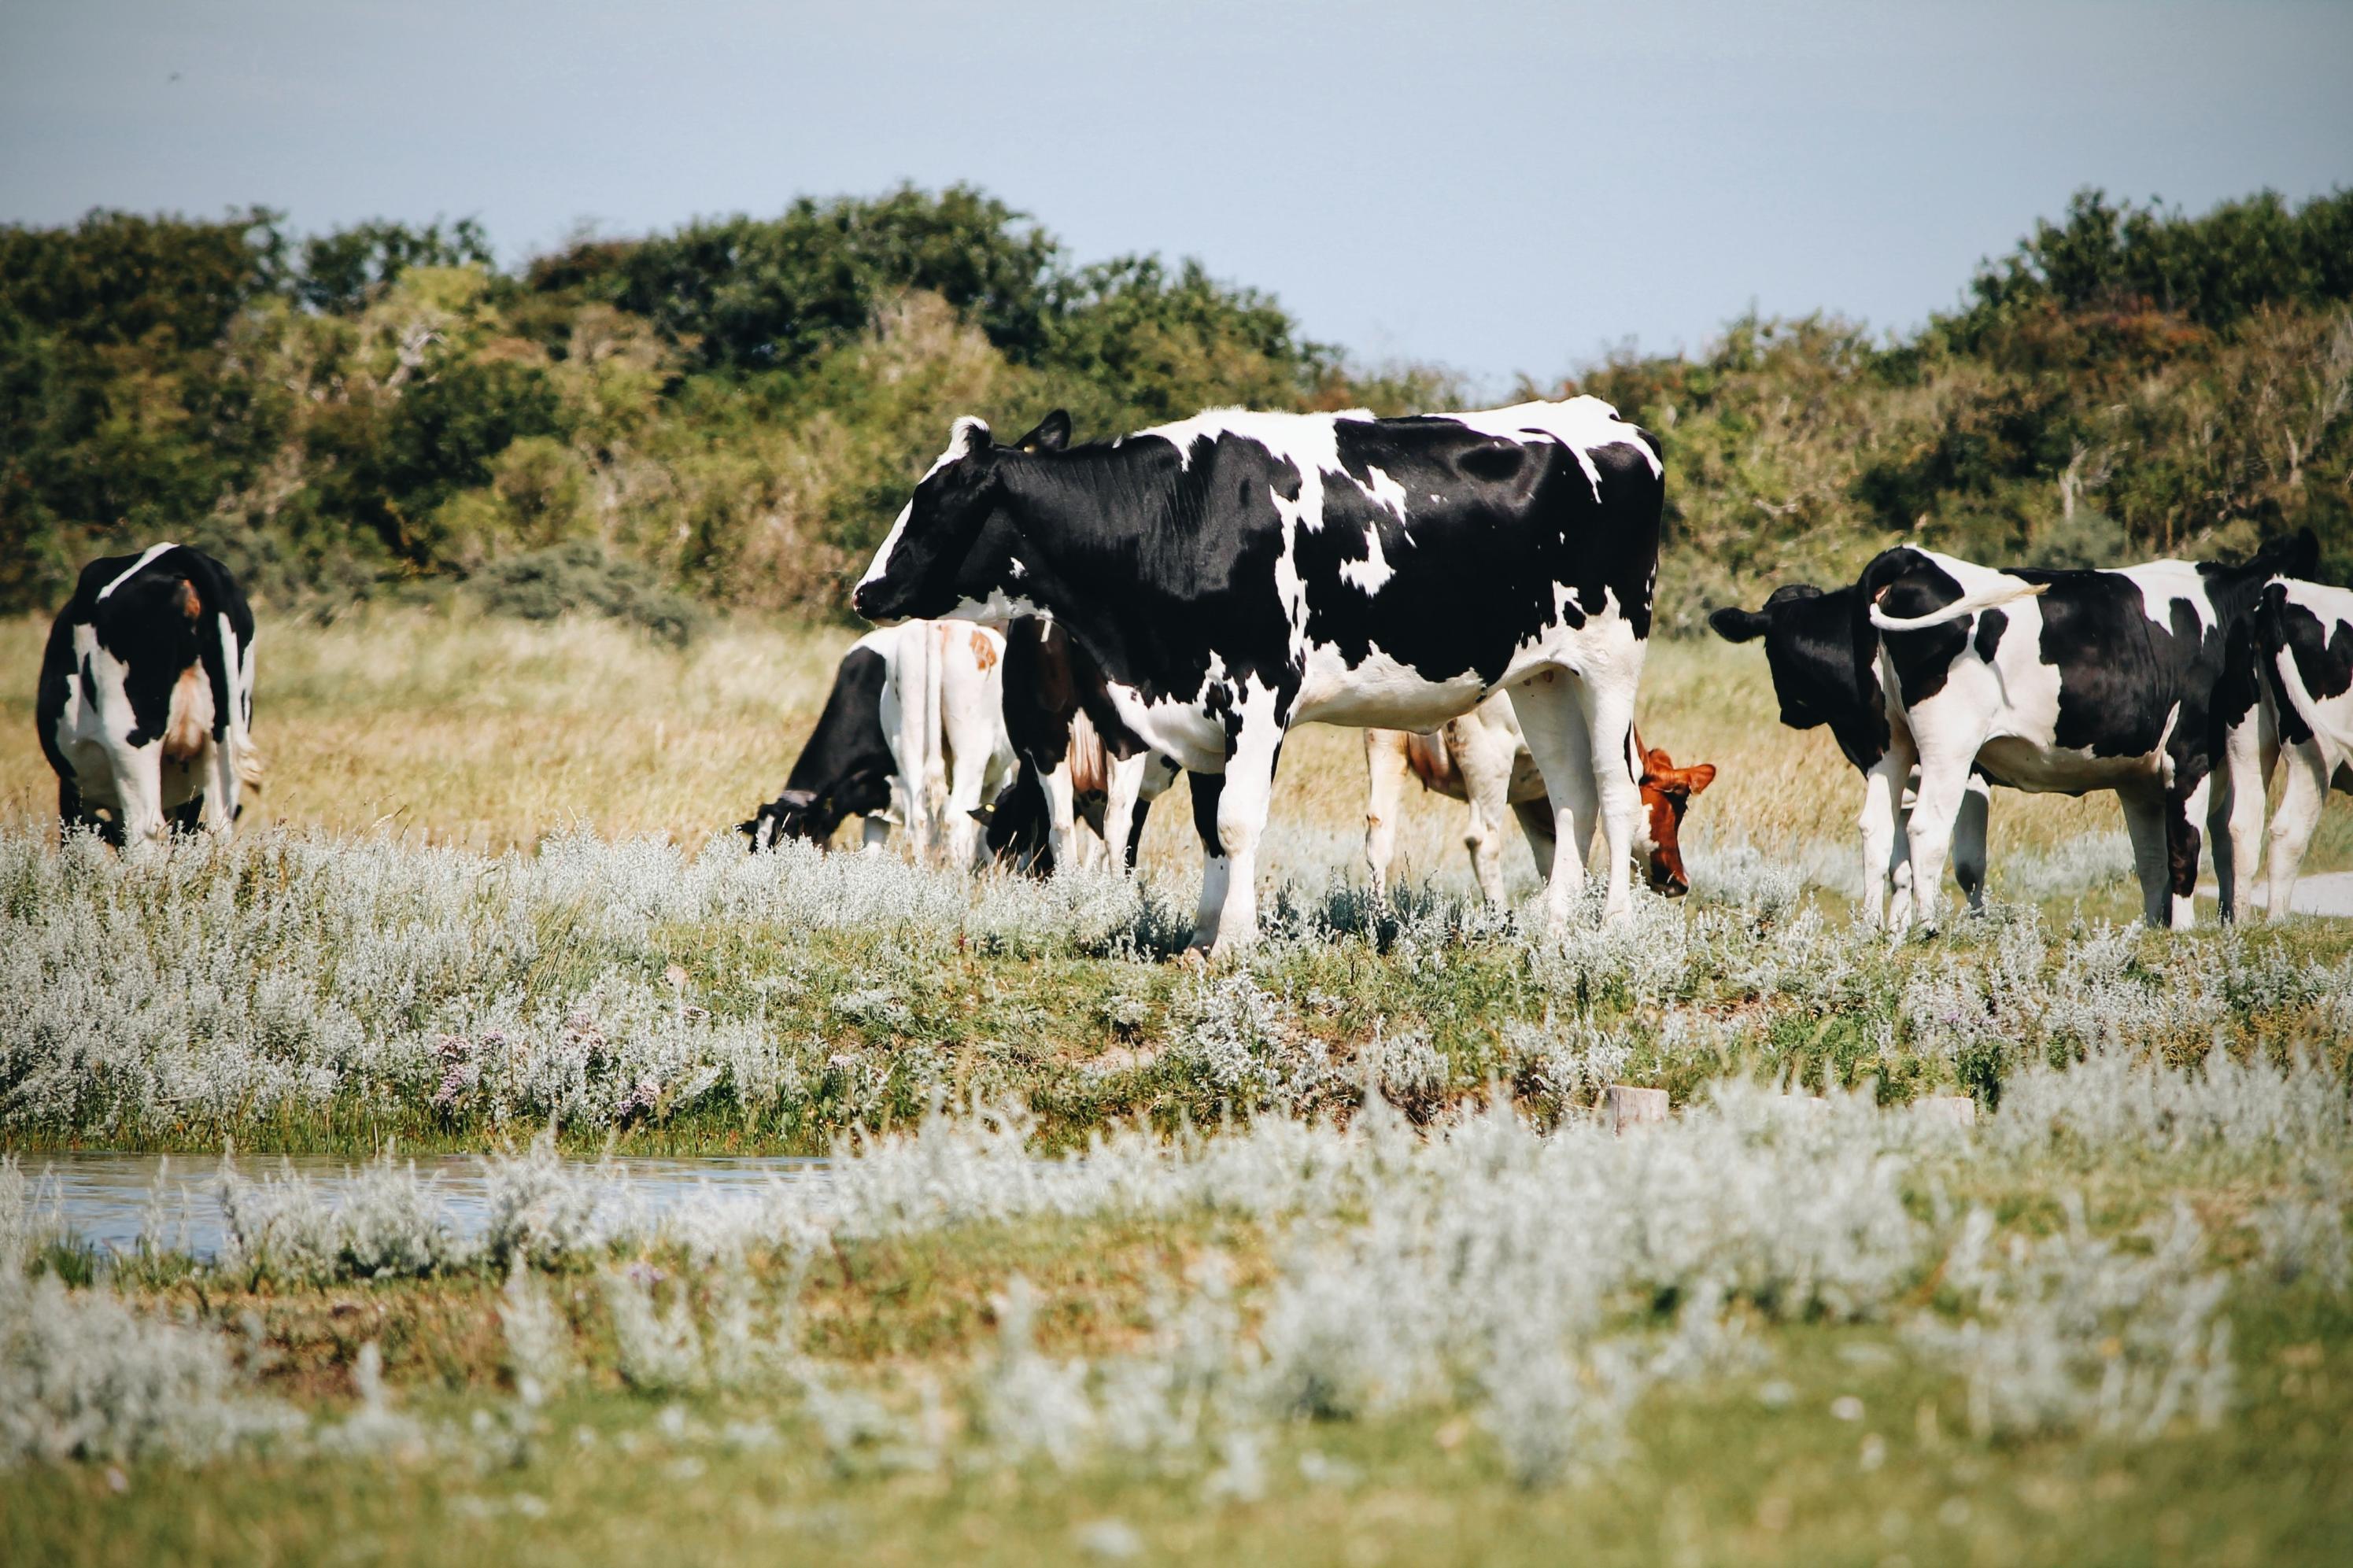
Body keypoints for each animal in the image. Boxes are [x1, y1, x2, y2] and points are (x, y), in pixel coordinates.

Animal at [37, 543, 260, 848]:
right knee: (219, 827)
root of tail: (178, 554)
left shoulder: (73, 794)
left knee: (146, 831)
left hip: (130, 745)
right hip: (221, 742)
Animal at [851, 400, 1665, 955]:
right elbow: (1210, 825)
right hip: (1544, 675)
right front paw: (1203, 935)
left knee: (1616, 789)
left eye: (933, 504)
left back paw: (1615, 926)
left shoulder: (1259, 692)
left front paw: (1236, 941)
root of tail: (1611, 421)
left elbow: (1238, 822)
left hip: (1613, 658)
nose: (864, 591)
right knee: (1569, 791)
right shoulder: (1199, 710)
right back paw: (1555, 926)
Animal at [1363, 696, 1714, 903]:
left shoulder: (1531, 800)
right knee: (1483, 841)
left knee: (1379, 834)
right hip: (1488, 758)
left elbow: (1554, 855)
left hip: (1385, 747)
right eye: (1678, 807)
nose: (1682, 881)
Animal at [1707, 582, 1993, 925]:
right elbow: (1901, 867)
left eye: (1770, 652)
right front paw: (1895, 929)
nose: (1789, 714)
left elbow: (1966, 865)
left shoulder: (1965, 768)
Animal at [1860, 534, 2316, 932]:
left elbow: (2151, 858)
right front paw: (2184, 931)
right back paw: (1927, 929)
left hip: (1890, 744)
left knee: (1876, 826)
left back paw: (1872, 932)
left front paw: (2157, 928)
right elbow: (2184, 846)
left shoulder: (2139, 778)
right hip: (1950, 746)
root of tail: (1911, 557)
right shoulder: (2189, 753)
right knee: (1926, 828)